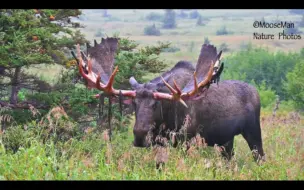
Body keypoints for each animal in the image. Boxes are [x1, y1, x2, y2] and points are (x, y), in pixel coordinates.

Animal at [72, 37, 264, 163]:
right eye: (134, 103)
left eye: (156, 104)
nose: (140, 135)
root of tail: (256, 92)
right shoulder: (161, 144)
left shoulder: (187, 142)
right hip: (226, 141)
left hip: (253, 132)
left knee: (260, 157)